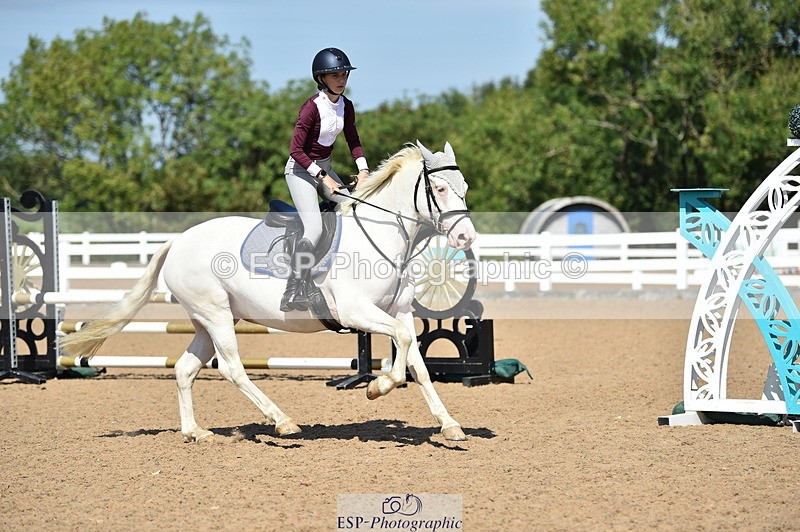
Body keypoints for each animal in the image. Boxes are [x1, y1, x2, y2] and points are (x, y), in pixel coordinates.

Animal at [59, 141, 477, 443]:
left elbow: (418, 365)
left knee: (184, 369)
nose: (466, 238)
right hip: (217, 317)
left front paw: (449, 424)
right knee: (233, 369)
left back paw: (196, 432)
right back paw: (282, 421)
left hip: (206, 322)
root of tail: (178, 240)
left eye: (465, 188)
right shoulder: (356, 312)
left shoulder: (400, 312)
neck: (382, 235)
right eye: (440, 188)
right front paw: (378, 386)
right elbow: (403, 349)